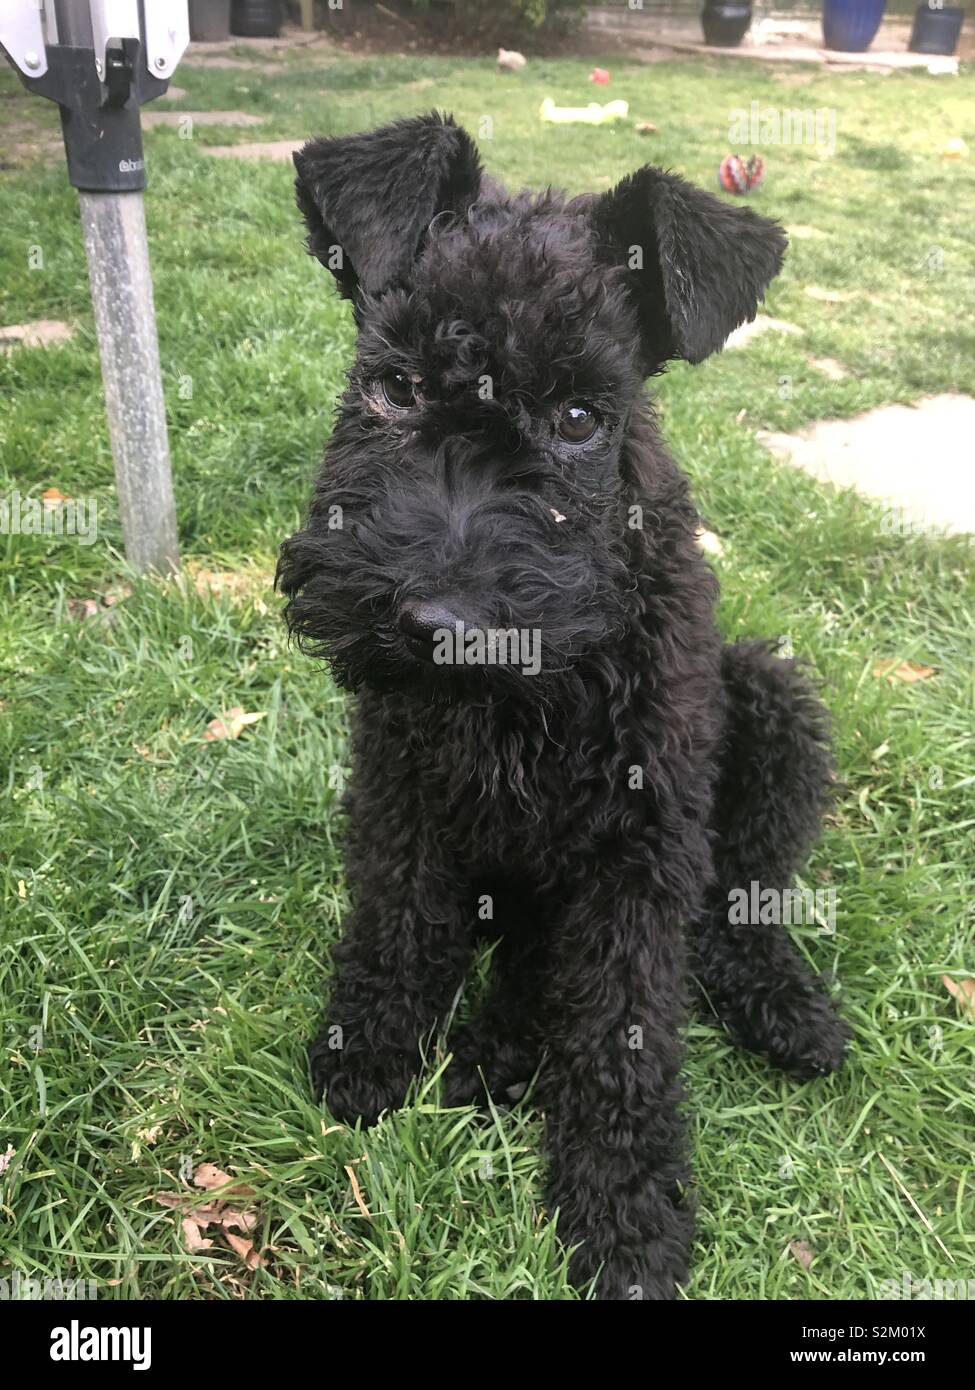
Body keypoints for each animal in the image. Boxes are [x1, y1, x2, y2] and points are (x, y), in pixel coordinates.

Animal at [275, 113, 845, 1295]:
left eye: (582, 414)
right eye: (393, 385)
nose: (439, 621)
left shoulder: (639, 842)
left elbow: (622, 1031)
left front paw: (623, 1212)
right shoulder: (400, 783)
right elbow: (398, 921)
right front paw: (374, 1047)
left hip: (768, 704)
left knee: (742, 899)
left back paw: (781, 1006)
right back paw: (495, 1042)